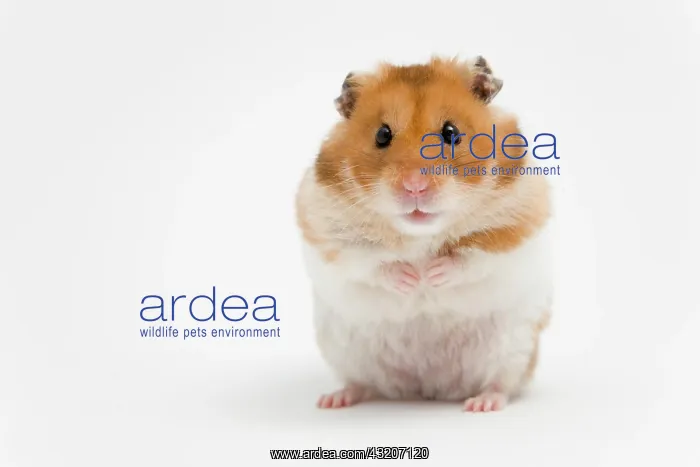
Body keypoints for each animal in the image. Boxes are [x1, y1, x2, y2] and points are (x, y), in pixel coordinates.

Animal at [295, 56, 552, 412]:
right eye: (382, 134)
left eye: (451, 132)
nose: (414, 186)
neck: (420, 234)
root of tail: (429, 388)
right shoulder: (328, 237)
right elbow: (369, 262)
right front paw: (411, 278)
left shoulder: (514, 232)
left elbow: (472, 258)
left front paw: (430, 274)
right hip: (344, 350)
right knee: (363, 383)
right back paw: (334, 400)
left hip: (515, 346)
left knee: (503, 383)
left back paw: (482, 404)